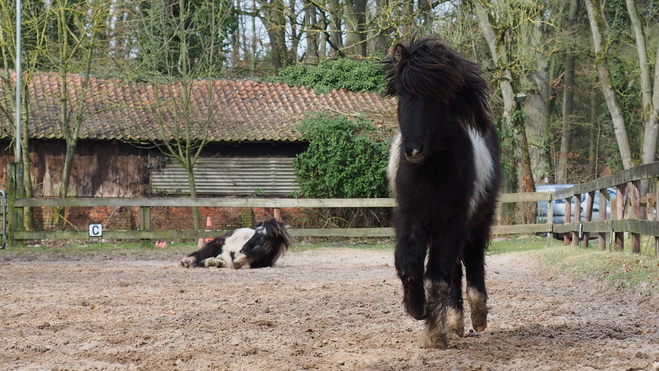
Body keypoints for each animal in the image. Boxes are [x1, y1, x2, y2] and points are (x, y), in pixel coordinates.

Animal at [384, 36, 502, 350]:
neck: (431, 172)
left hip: (476, 221)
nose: (413, 150)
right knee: (455, 269)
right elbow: (408, 264)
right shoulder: (411, 217)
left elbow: (436, 277)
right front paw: (418, 309)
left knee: (471, 259)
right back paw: (455, 321)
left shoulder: (453, 221)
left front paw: (435, 334)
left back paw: (477, 317)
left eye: (436, 97)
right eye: (403, 94)